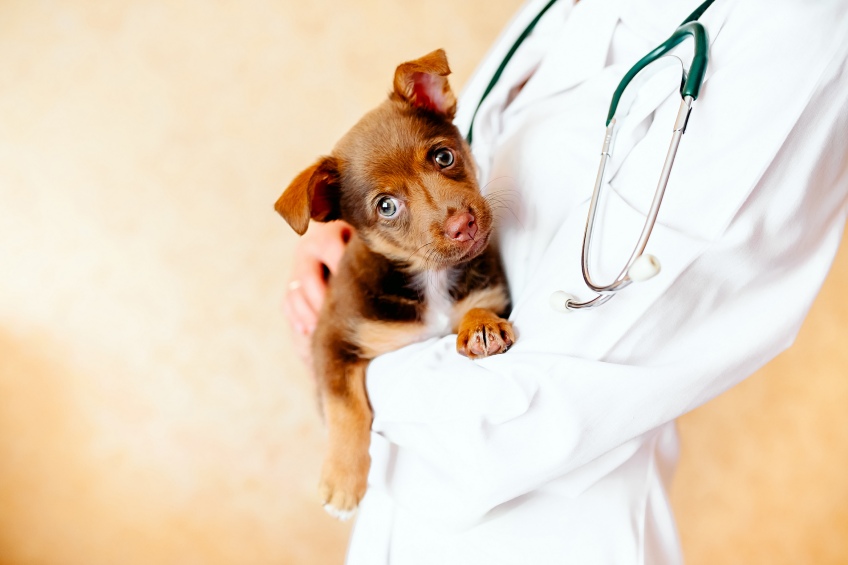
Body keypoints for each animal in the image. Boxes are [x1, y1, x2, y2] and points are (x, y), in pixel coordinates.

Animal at [278, 49, 512, 520]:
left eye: (443, 157)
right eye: (386, 206)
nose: (463, 225)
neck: (430, 276)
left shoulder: (493, 292)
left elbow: (477, 308)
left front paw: (480, 326)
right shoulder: (331, 341)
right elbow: (346, 407)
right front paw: (342, 481)